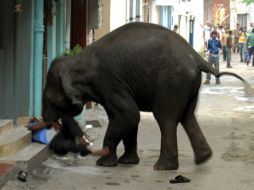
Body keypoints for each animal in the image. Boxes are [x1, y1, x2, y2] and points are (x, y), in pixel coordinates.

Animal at [42, 22, 248, 171]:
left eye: (52, 101)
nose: (47, 122)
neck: (78, 61)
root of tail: (196, 57)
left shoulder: (108, 83)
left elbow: (128, 115)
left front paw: (104, 163)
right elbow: (129, 119)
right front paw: (127, 162)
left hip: (172, 82)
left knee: (166, 119)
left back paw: (163, 168)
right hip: (189, 84)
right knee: (188, 117)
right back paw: (203, 159)